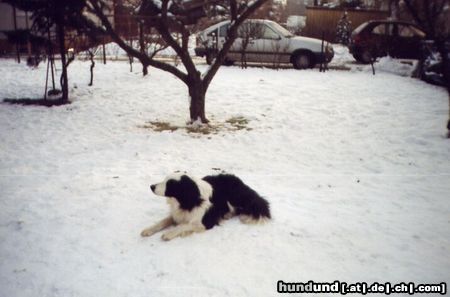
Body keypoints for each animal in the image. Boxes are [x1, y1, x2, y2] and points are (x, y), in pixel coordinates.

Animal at [141, 172, 270, 239]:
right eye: (165, 180)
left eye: (170, 184)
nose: (151, 186)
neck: (187, 201)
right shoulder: (177, 214)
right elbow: (162, 221)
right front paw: (148, 230)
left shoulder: (206, 223)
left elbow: (184, 225)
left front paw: (169, 233)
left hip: (235, 197)